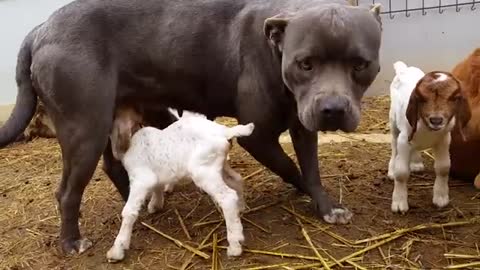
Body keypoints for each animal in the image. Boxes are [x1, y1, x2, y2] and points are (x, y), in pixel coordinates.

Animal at [0, 0, 382, 253]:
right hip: (85, 128)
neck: (275, 49)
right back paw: (72, 242)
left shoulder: (303, 125)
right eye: (305, 64)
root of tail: (41, 29)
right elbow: (291, 167)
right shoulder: (258, 136)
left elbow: (312, 169)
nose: (332, 109)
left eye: (360, 64)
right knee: (67, 191)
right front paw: (303, 192)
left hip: (116, 116)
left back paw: (141, 203)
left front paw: (326, 205)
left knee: (114, 164)